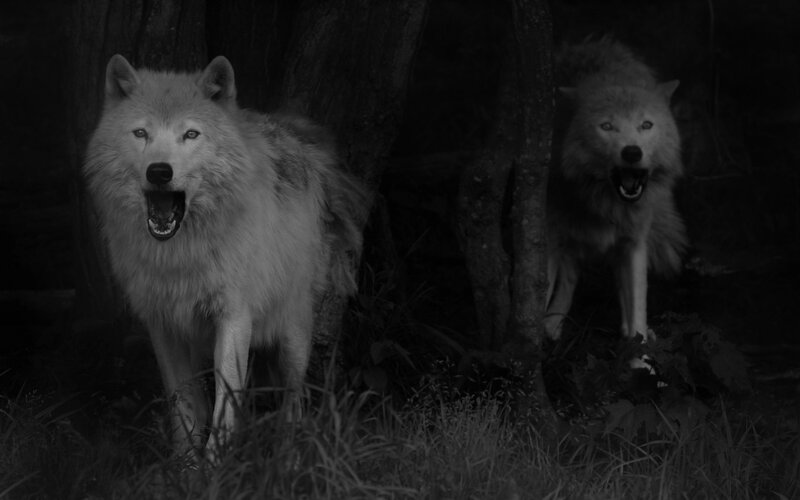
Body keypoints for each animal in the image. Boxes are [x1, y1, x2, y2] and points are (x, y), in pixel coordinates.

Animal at [84, 54, 367, 458]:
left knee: (293, 401)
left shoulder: (234, 316)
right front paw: (187, 464)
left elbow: (225, 403)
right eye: (141, 133)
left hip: (293, 332)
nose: (159, 171)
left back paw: (287, 455)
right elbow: (184, 404)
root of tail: (289, 130)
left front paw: (216, 464)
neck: (181, 253)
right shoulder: (162, 324)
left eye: (191, 134)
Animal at [545, 37, 687, 346]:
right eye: (607, 126)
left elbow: (637, 310)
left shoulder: (634, 244)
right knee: (568, 279)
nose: (632, 152)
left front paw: (641, 353)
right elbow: (538, 292)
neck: (604, 205)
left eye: (646, 125)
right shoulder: (548, 239)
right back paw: (552, 327)